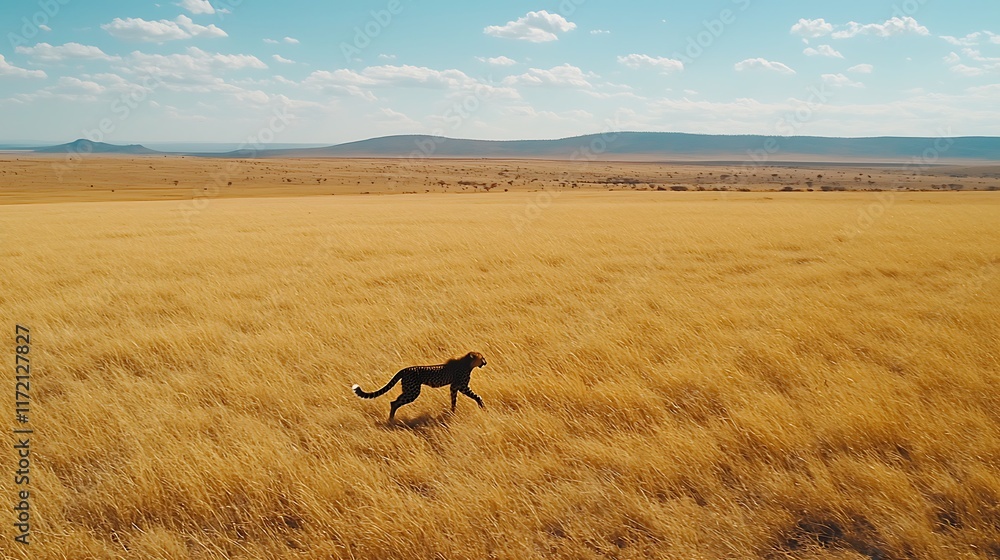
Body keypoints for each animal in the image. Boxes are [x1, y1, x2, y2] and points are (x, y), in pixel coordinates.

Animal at [352, 352, 487, 421]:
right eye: (482, 358)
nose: (485, 362)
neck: (468, 363)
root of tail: (404, 369)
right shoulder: (462, 386)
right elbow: (477, 396)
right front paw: (483, 407)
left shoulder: (453, 387)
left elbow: (453, 400)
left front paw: (452, 412)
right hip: (413, 391)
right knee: (394, 402)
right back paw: (391, 420)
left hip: (408, 389)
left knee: (394, 401)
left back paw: (391, 419)